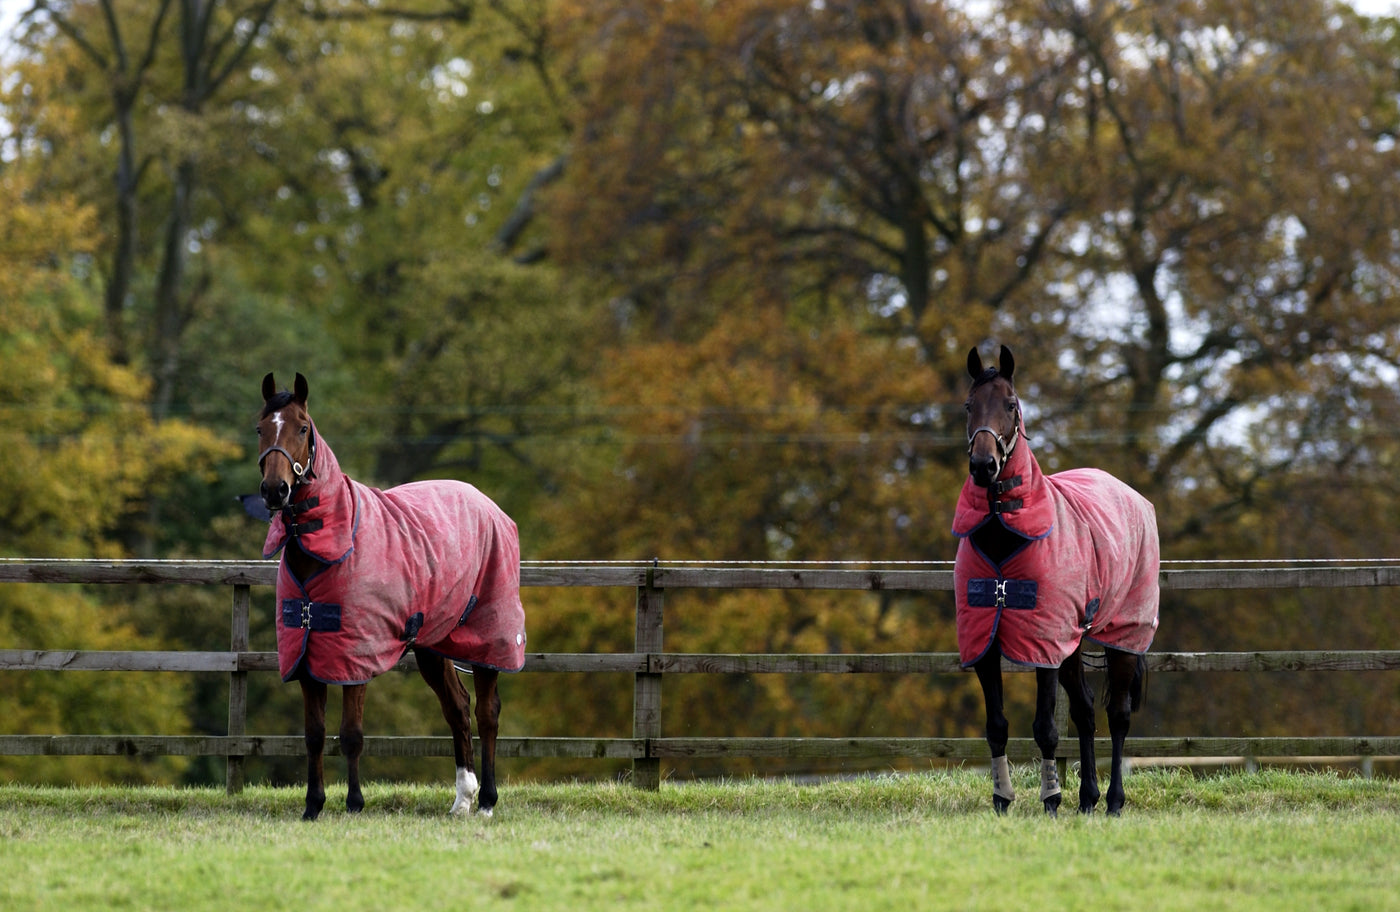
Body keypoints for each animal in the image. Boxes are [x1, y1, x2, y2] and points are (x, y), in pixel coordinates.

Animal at [253, 369, 526, 818]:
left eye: (303, 428)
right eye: (260, 428)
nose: (275, 490)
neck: (333, 540)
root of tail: (489, 506)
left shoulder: (355, 657)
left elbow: (351, 733)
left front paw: (354, 803)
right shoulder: (307, 657)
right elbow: (314, 733)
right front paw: (313, 806)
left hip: (488, 639)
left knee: (487, 713)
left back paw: (486, 799)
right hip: (434, 644)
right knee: (457, 709)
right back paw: (462, 800)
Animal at [952, 346, 1159, 818]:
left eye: (1011, 405)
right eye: (969, 406)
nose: (984, 466)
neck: (1005, 537)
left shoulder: (1042, 645)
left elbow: (1045, 728)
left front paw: (1050, 799)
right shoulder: (986, 643)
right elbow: (997, 726)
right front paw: (1002, 800)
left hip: (1125, 636)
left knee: (1118, 714)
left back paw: (1113, 801)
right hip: (1072, 643)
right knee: (1084, 711)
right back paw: (1087, 799)